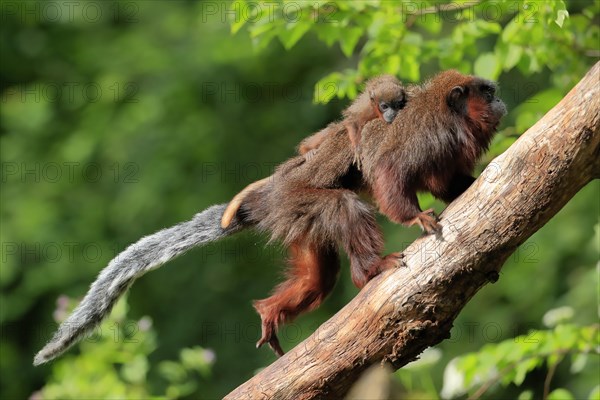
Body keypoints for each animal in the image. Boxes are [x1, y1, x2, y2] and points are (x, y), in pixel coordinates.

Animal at [220, 74, 408, 228]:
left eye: (397, 105)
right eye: (384, 106)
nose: (391, 114)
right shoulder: (366, 109)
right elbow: (352, 121)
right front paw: (357, 148)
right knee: (333, 130)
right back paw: (307, 149)